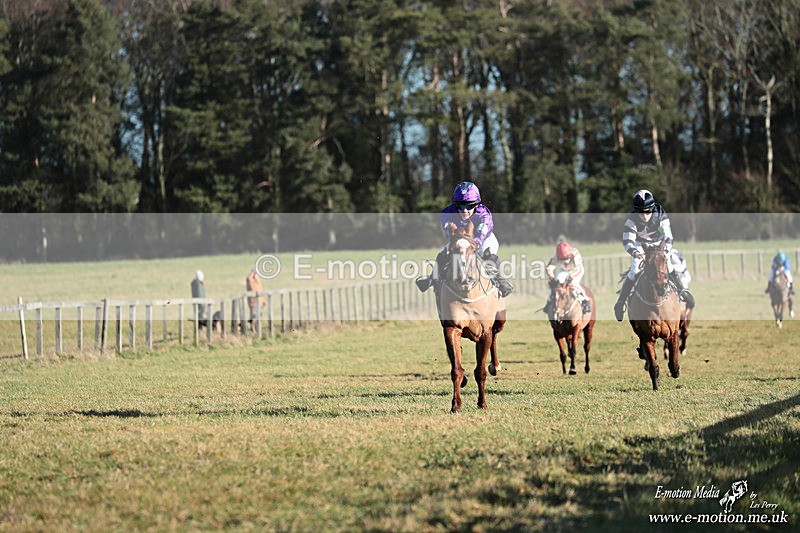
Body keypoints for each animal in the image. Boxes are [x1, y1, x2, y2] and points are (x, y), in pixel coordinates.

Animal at [439, 224, 506, 413]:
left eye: (473, 249)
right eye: (452, 250)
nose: (464, 278)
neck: (467, 293)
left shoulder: (484, 332)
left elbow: (480, 371)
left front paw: (482, 403)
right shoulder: (451, 328)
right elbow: (456, 368)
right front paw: (456, 405)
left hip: (499, 319)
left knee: (496, 334)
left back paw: (495, 366)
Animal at [627, 240, 683, 390]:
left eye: (664, 260)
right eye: (648, 262)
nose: (661, 287)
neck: (657, 304)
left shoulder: (672, 332)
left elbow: (674, 359)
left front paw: (675, 370)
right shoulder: (647, 336)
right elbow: (653, 365)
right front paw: (655, 385)